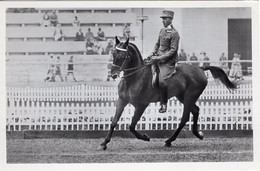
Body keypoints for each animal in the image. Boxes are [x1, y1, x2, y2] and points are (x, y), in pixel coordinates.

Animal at [99, 36, 236, 150]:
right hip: (182, 97)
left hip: (189, 97)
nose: (113, 75)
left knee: (185, 118)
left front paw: (145, 137)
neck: (134, 78)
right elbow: (114, 122)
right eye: (113, 53)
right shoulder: (122, 101)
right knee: (196, 110)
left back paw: (169, 141)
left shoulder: (141, 105)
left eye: (123, 56)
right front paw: (104, 143)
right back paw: (198, 134)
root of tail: (200, 68)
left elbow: (132, 126)